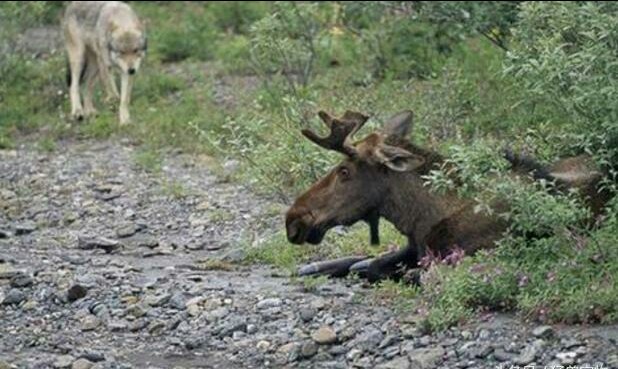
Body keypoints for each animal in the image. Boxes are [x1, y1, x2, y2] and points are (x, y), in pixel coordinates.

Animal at [282, 110, 608, 282]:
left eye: (344, 171)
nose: (293, 219)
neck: (418, 215)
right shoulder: (416, 245)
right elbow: (374, 263)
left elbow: (404, 272)